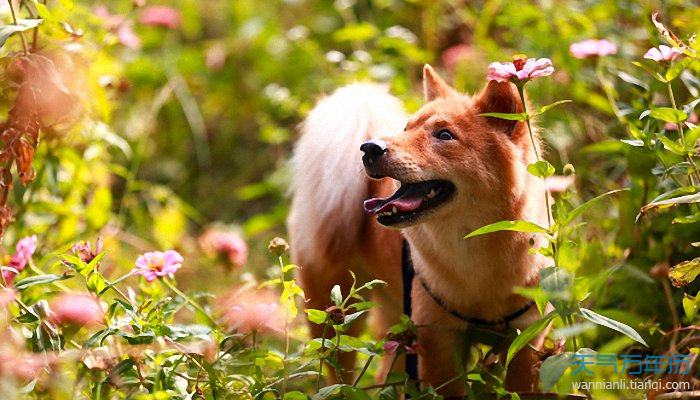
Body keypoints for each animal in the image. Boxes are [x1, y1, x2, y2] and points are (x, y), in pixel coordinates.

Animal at [288, 64, 552, 396]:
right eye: (407, 128)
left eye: (444, 135)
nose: (369, 148)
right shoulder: (438, 344)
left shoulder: (526, 340)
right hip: (335, 317)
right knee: (337, 375)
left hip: (397, 326)